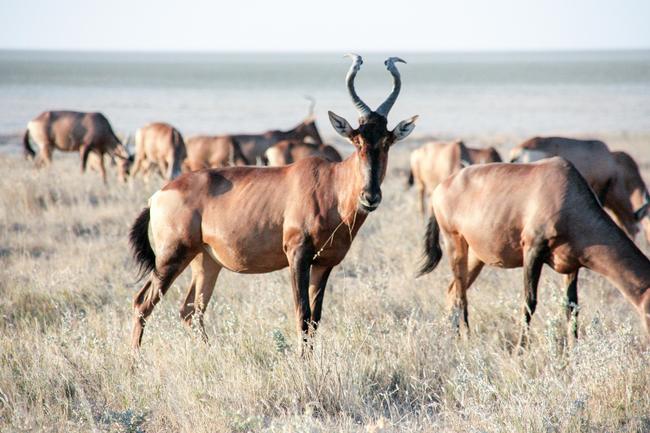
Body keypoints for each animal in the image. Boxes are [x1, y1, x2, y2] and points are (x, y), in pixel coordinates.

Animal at [129, 55, 418, 350]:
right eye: (356, 139)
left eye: (387, 140)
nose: (370, 196)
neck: (330, 184)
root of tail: (158, 195)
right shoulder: (297, 255)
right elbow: (302, 315)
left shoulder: (324, 264)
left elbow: (315, 319)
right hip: (171, 257)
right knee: (142, 303)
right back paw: (135, 359)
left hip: (205, 260)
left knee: (191, 310)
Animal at [416, 156, 648, 344]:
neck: (567, 191)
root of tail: (440, 188)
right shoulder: (532, 251)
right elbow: (529, 302)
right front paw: (520, 351)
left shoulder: (571, 265)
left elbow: (571, 307)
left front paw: (574, 352)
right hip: (454, 242)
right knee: (460, 296)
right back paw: (466, 342)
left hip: (476, 255)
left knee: (452, 291)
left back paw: (454, 339)